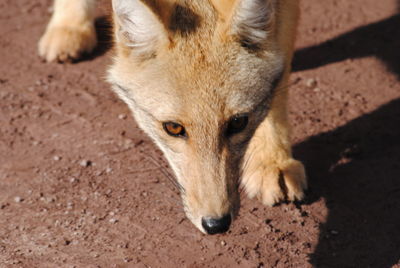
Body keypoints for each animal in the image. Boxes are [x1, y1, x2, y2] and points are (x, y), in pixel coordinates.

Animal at [39, 0, 306, 234]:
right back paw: (69, 26)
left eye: (238, 122)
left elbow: (278, 85)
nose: (216, 224)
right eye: (173, 128)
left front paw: (273, 160)